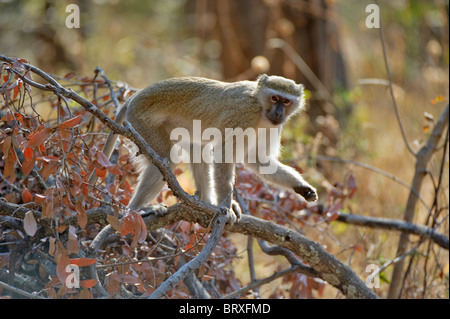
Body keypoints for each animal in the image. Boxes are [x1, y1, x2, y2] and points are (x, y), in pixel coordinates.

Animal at [98, 74, 316, 221]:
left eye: (286, 101)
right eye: (274, 98)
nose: (279, 113)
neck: (261, 107)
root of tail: (135, 97)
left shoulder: (273, 127)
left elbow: (259, 161)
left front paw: (302, 187)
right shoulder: (243, 115)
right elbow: (224, 156)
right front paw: (225, 208)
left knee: (197, 150)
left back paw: (206, 202)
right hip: (140, 122)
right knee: (167, 158)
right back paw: (135, 210)